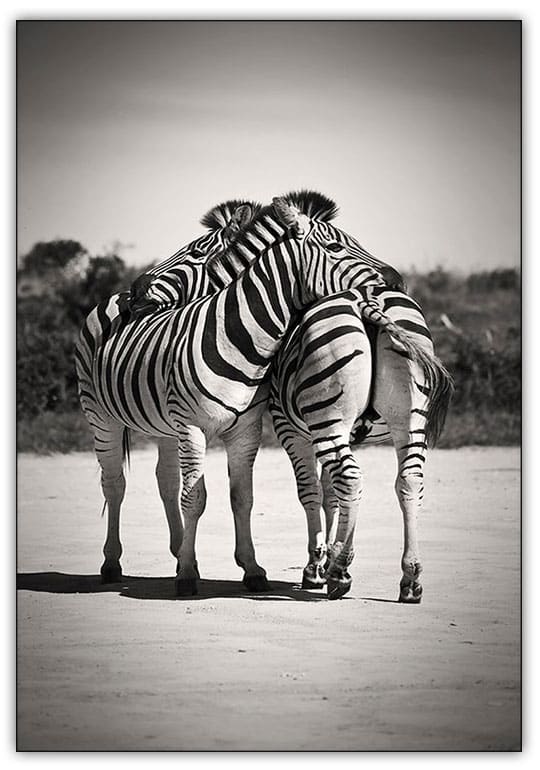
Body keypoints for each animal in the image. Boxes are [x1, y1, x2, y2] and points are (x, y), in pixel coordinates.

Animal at [77, 190, 421, 597]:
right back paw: (114, 563)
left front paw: (253, 568)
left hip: (163, 423)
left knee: (164, 480)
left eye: (195, 251)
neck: (237, 334)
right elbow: (197, 498)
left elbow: (242, 497)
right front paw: (189, 575)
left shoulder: (245, 430)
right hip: (101, 416)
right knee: (115, 484)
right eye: (336, 245)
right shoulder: (195, 427)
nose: (136, 290)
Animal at [269, 284, 453, 600]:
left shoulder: (290, 428)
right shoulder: (344, 434)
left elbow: (312, 491)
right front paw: (330, 554)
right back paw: (410, 577)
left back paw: (340, 573)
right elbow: (332, 493)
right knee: (409, 480)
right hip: (410, 418)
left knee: (351, 478)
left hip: (328, 413)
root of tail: (367, 299)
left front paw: (317, 566)